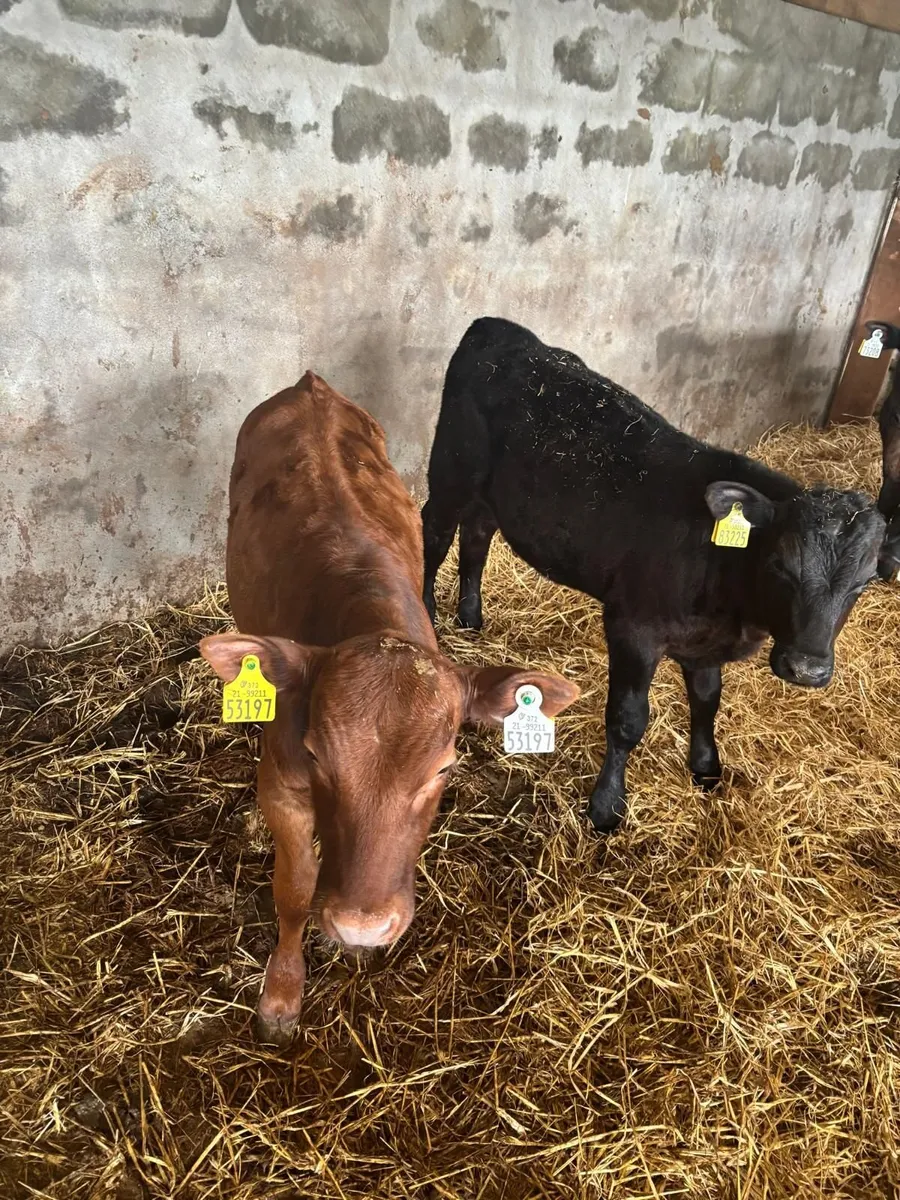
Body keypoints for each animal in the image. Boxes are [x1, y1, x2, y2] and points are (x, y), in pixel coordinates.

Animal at [198, 371, 579, 1043]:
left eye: (444, 768)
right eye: (317, 757)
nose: (363, 927)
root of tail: (310, 385)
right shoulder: (282, 783)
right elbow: (295, 887)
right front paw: (282, 994)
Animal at [421, 318, 885, 835]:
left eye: (864, 582)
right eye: (780, 564)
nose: (807, 669)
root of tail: (500, 328)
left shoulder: (704, 645)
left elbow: (707, 700)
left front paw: (706, 767)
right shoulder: (632, 628)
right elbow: (627, 720)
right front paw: (606, 807)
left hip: (491, 494)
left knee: (477, 535)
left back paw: (470, 616)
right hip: (451, 469)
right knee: (434, 534)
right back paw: (427, 614)